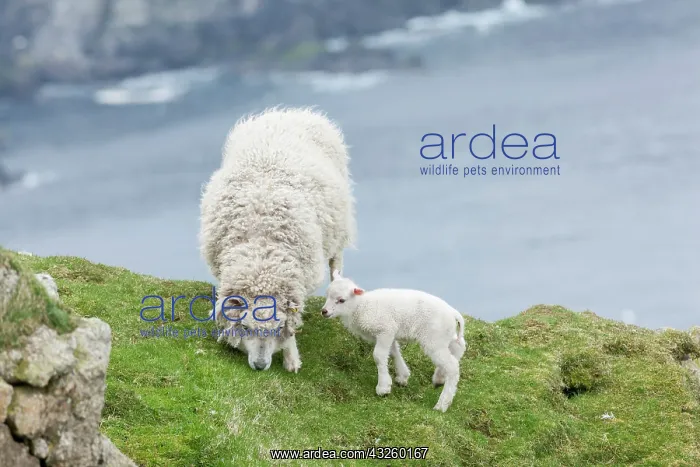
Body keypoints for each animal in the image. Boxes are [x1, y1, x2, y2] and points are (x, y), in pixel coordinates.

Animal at [199, 106, 356, 372]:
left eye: (276, 328)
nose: (260, 365)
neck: (262, 249)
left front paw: (291, 358)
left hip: (339, 225)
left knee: (336, 261)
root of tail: (293, 112)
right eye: (246, 327)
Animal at [321, 270, 467, 412]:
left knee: (452, 366)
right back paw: (439, 378)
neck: (361, 307)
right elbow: (393, 352)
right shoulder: (389, 332)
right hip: (444, 335)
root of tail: (454, 313)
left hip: (434, 338)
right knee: (459, 345)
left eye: (341, 300)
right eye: (327, 295)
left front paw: (383, 388)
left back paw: (442, 404)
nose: (324, 311)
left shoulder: (385, 329)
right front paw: (402, 376)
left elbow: (379, 355)